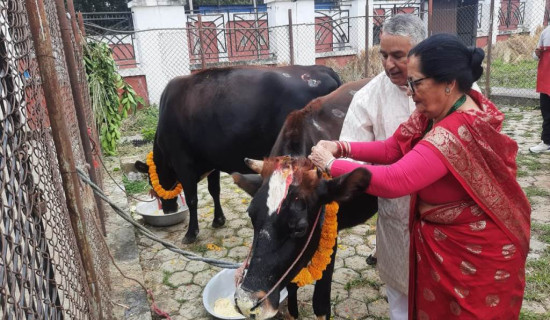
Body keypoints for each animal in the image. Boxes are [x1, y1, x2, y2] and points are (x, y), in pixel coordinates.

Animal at [134, 66, 342, 244]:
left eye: (151, 182)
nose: (169, 209)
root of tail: (323, 70)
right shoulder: (212, 162)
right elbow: (214, 190)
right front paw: (218, 220)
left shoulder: (183, 163)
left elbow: (193, 198)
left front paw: (191, 233)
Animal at [232, 78, 380, 320]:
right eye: (251, 216)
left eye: (300, 228)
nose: (247, 302)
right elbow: (291, 288)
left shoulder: (329, 234)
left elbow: (320, 303)